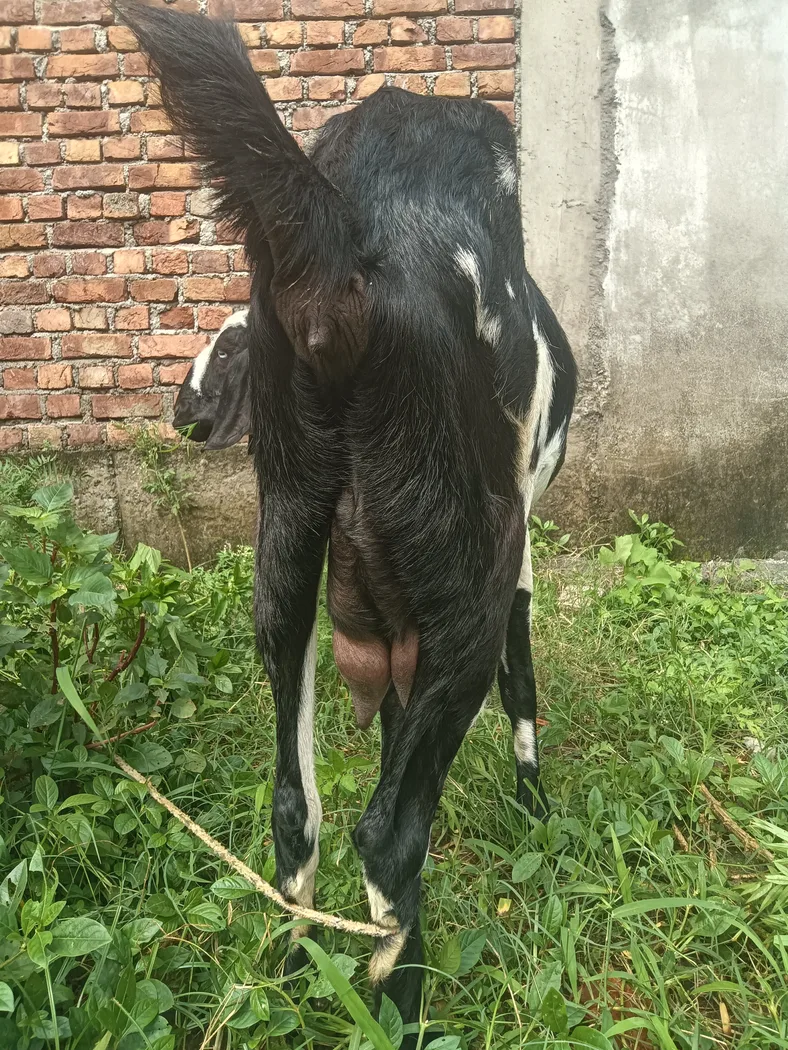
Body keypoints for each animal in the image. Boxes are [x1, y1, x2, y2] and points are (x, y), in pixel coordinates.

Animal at [116, 0, 577, 1034]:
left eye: (227, 351)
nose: (186, 412)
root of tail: (352, 267)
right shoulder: (518, 565)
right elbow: (525, 686)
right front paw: (535, 804)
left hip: (284, 562)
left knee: (297, 811)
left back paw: (295, 978)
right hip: (471, 580)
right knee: (388, 834)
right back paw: (401, 1003)